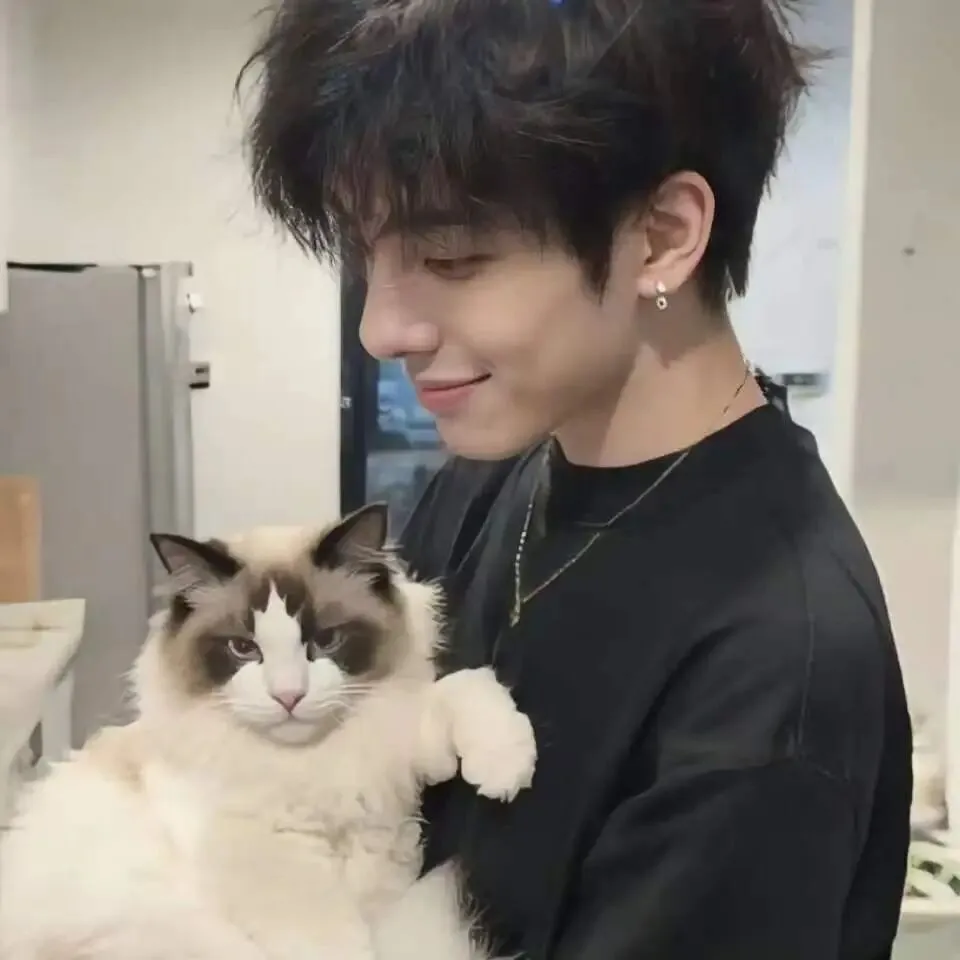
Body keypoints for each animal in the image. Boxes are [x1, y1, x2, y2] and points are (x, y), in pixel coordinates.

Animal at [0, 503, 535, 960]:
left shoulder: (392, 741)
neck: (308, 766)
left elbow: (467, 689)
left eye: (325, 640)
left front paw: (505, 774)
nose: (288, 696)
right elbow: (338, 946)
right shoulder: (277, 871)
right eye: (243, 648)